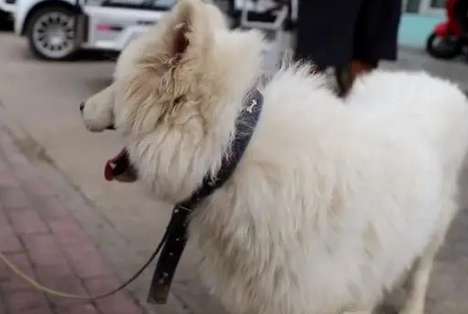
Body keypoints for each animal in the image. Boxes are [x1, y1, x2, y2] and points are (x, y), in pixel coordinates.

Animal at [80, 1, 468, 312]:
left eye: (115, 84)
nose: (81, 106)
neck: (236, 152)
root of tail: (437, 82)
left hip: (435, 226)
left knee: (420, 273)